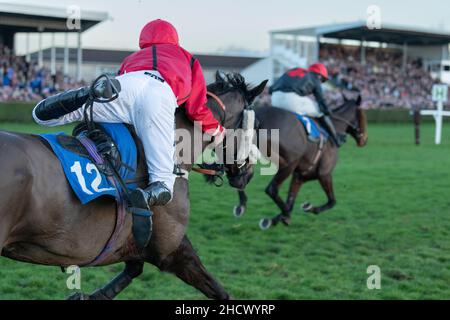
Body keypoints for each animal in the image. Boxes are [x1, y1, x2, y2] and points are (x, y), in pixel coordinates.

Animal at [0, 71, 268, 298]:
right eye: (256, 127)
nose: (248, 173)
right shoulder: (171, 250)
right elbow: (218, 291)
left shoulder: (134, 243)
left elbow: (134, 268)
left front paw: (90, 295)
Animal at [223, 94, 368, 229]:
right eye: (363, 115)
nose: (364, 140)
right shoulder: (324, 174)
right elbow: (332, 201)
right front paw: (306, 207)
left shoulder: (300, 176)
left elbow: (291, 199)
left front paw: (275, 219)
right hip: (288, 163)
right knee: (271, 189)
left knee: (239, 178)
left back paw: (242, 203)